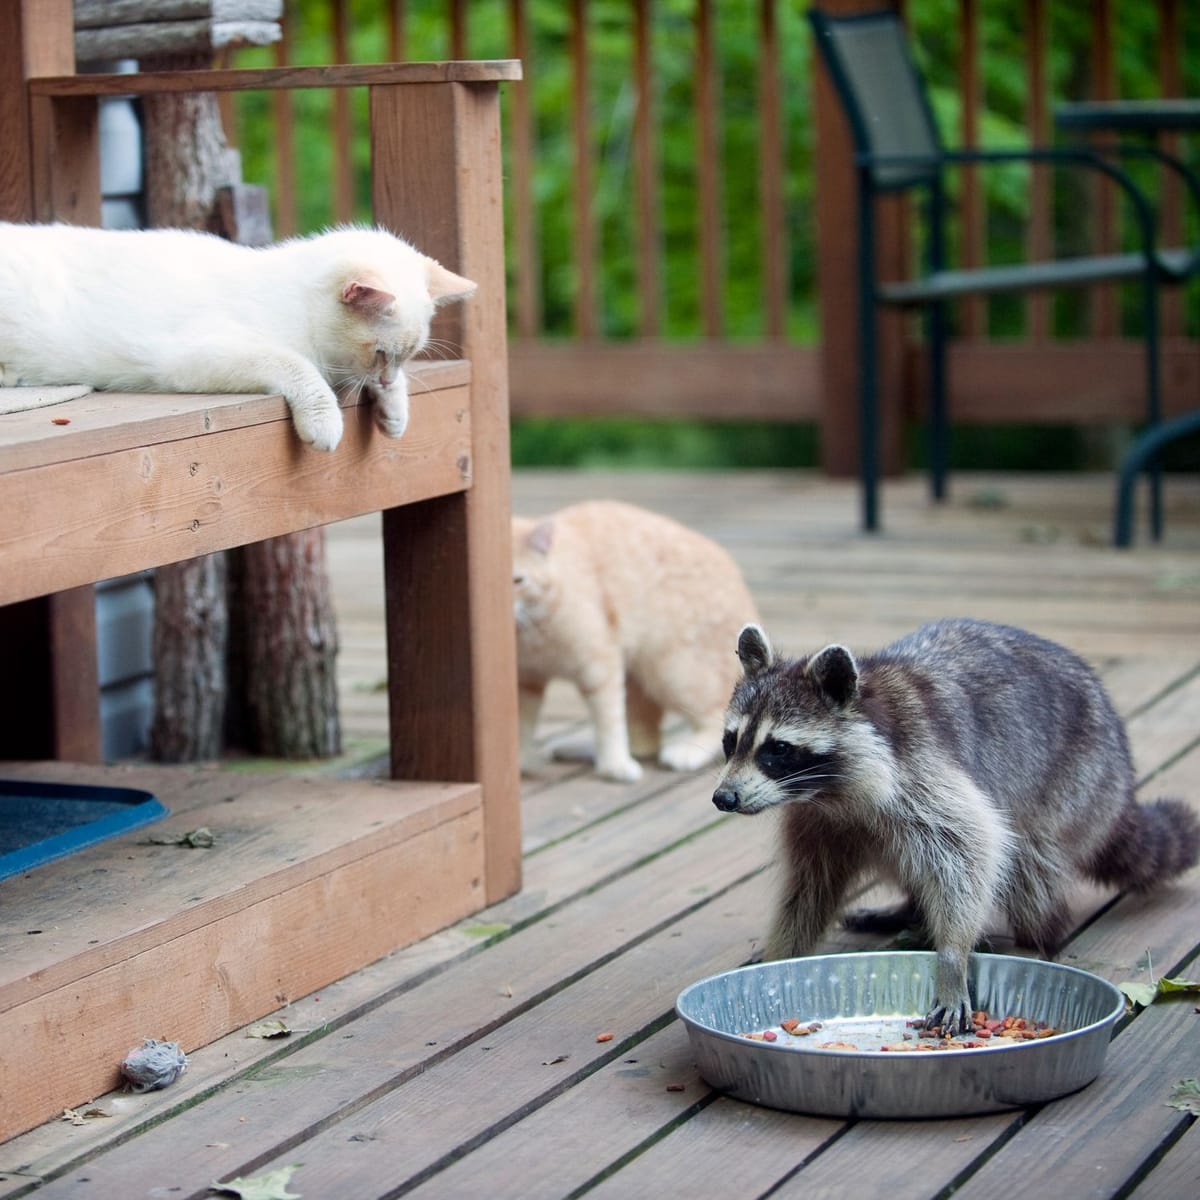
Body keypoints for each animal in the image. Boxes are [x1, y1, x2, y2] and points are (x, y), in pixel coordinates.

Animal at [0, 223, 477, 451]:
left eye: (402, 357)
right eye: (379, 353)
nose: (383, 378)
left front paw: (394, 408)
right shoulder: (194, 356)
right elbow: (298, 367)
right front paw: (325, 421)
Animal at [513, 501, 758, 782]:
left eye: (517, 580)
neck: (530, 633)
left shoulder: (601, 666)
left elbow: (609, 721)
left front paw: (615, 766)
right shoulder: (527, 680)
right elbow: (523, 725)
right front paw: (523, 762)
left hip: (674, 671)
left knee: (714, 717)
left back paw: (685, 753)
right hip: (639, 680)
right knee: (645, 739)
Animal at [710, 619, 1200, 1032]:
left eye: (777, 749)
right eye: (730, 741)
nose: (724, 798)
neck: (831, 792)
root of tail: (1121, 779)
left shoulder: (920, 771)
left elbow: (971, 847)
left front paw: (951, 956)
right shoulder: (817, 820)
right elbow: (809, 887)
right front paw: (783, 951)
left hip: (1077, 781)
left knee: (1025, 858)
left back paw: (1037, 934)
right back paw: (910, 910)